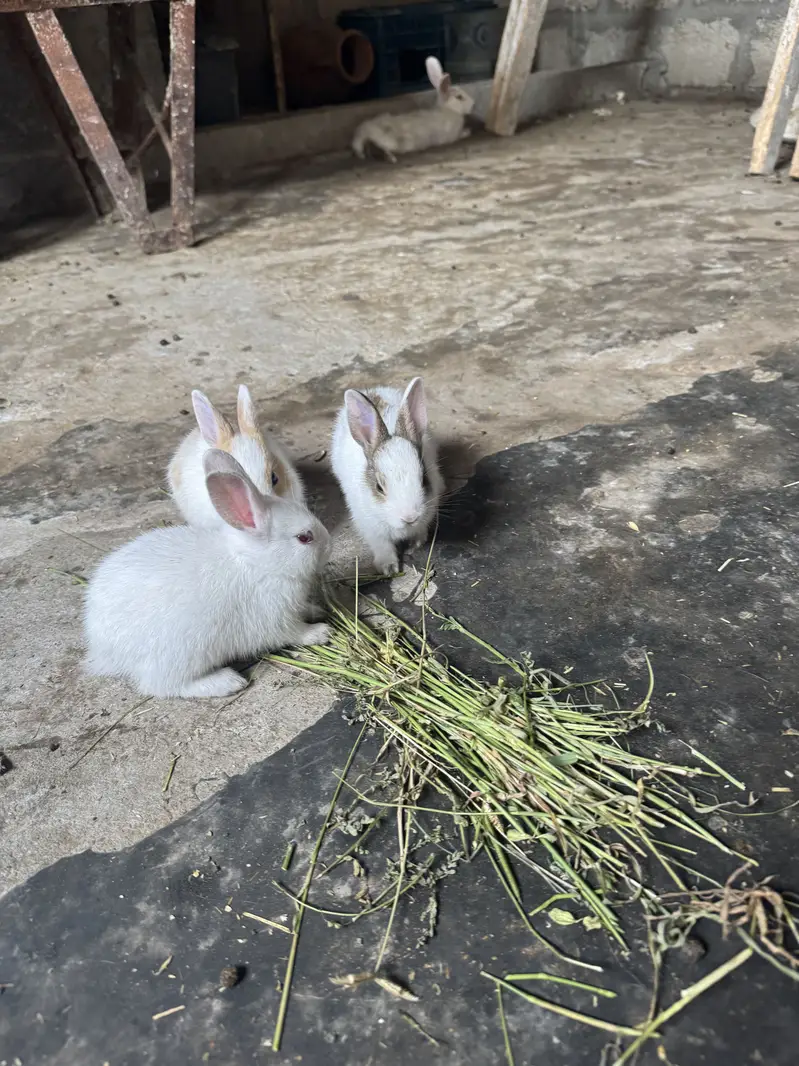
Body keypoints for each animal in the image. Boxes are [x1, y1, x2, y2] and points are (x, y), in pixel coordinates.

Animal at [84, 449, 331, 699]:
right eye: (304, 537)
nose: (329, 546)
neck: (256, 563)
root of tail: (103, 650)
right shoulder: (275, 619)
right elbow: (295, 633)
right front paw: (321, 632)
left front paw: (317, 610)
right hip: (181, 654)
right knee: (163, 685)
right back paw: (227, 681)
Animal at [331, 376, 444, 575]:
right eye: (379, 487)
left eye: (424, 479)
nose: (410, 518)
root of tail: (374, 389)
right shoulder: (372, 528)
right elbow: (383, 546)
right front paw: (389, 568)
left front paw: (415, 545)